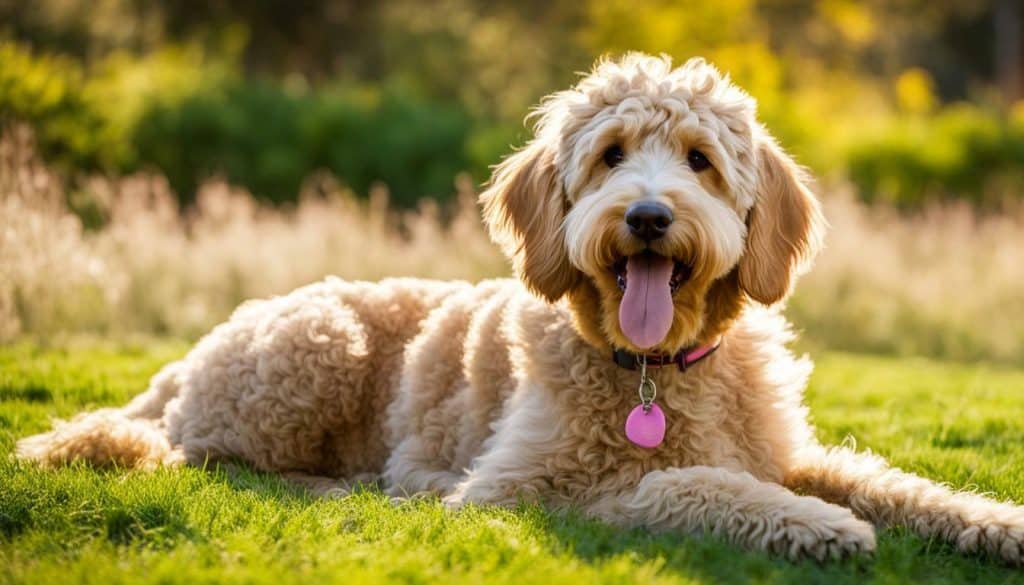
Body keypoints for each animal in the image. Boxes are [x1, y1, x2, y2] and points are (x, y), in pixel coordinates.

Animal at [16, 53, 1024, 561]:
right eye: (612, 154)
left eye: (700, 160)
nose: (647, 216)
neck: (654, 369)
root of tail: (188, 357)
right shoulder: (520, 489)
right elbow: (669, 484)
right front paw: (817, 526)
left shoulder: (783, 451)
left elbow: (889, 480)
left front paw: (993, 522)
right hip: (317, 348)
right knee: (206, 459)